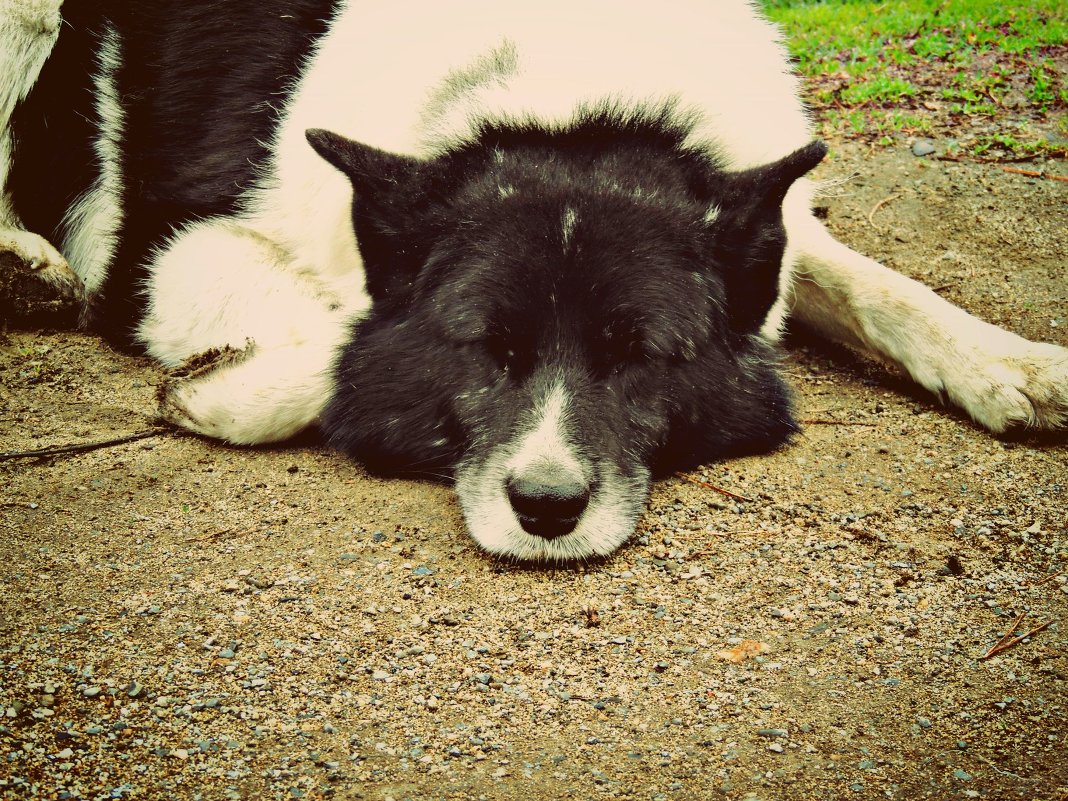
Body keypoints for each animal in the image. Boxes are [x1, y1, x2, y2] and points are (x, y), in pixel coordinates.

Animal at [6, 0, 1068, 559]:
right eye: (487, 347)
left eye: (641, 356)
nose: (547, 511)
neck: (564, 90)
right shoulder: (167, 243)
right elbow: (341, 347)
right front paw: (216, 391)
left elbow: (877, 288)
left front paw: (1010, 364)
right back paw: (28, 268)